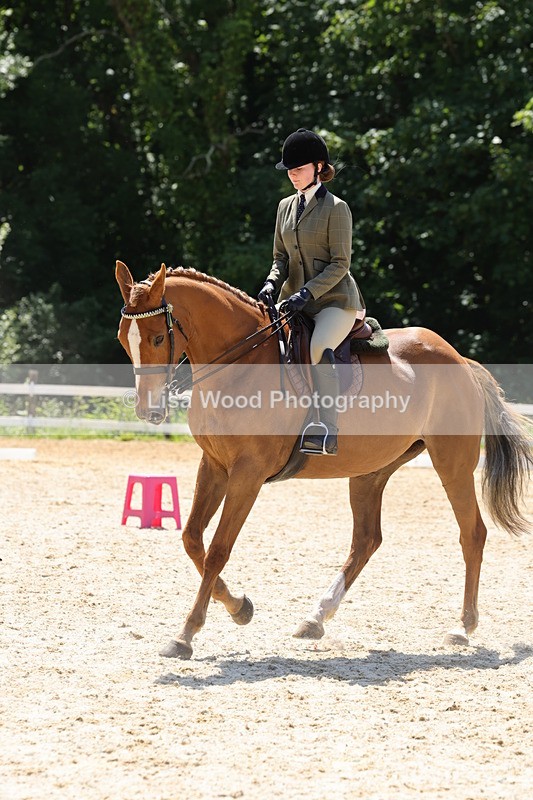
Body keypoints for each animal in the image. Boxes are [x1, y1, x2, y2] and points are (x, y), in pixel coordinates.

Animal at [115, 260, 532, 660]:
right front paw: (240, 607)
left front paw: (185, 635)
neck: (239, 366)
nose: (149, 412)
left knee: (472, 534)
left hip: (452, 464)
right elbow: (192, 539)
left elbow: (218, 549)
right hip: (370, 471)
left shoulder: (247, 473)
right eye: (124, 340)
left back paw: (462, 627)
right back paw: (315, 618)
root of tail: (460, 358)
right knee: (366, 540)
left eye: (157, 337)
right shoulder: (215, 465)